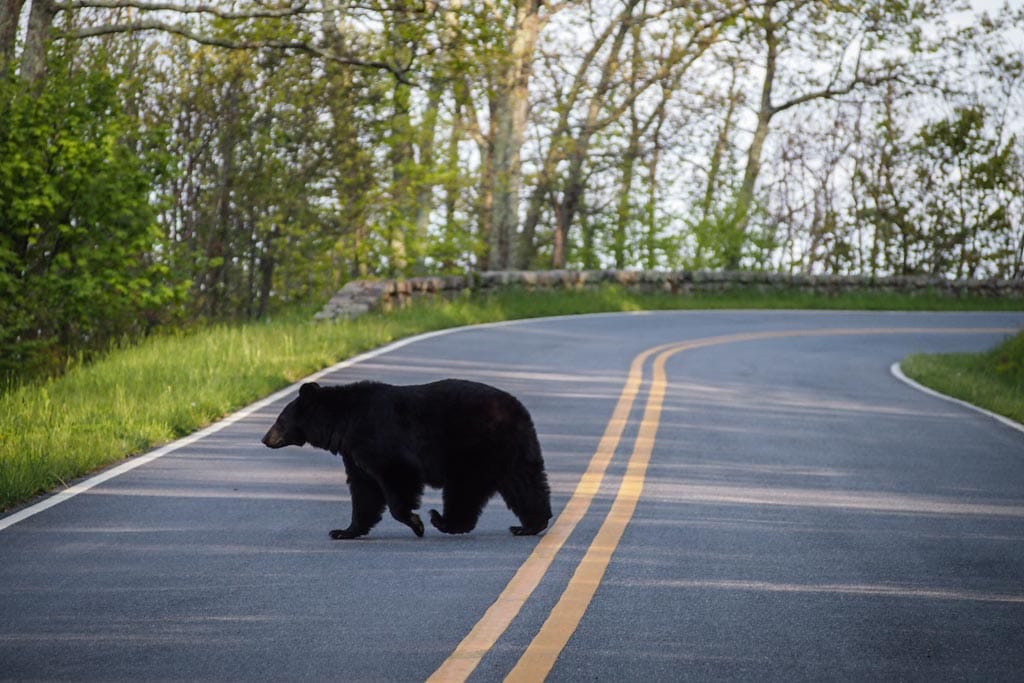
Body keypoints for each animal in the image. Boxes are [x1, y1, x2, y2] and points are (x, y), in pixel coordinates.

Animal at [264, 378, 552, 540]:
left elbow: (397, 476)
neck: (343, 422)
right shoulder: (354, 453)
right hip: (512, 449)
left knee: (465, 487)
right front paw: (344, 531)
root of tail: (517, 409)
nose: (265, 439)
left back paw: (444, 521)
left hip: (472, 446)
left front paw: (415, 522)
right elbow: (364, 490)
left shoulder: (377, 439)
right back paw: (530, 525)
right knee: (524, 483)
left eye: (280, 419)